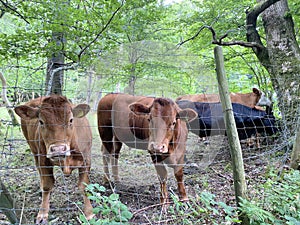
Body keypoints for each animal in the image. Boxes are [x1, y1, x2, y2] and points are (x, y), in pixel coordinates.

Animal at [13, 94, 92, 223]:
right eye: (41, 121)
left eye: (71, 120)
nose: (58, 149)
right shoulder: (43, 161)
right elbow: (47, 185)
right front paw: (42, 213)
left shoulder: (86, 159)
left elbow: (84, 186)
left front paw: (89, 213)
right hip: (34, 151)